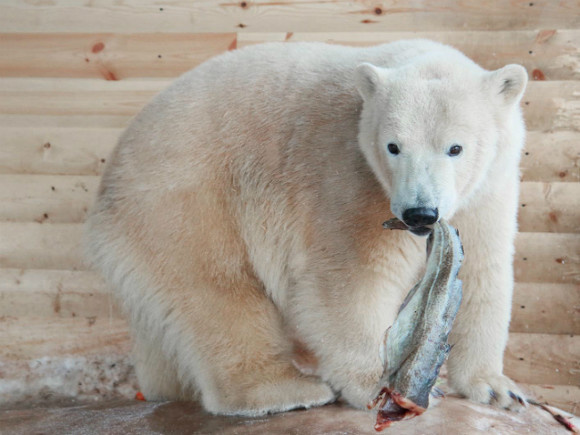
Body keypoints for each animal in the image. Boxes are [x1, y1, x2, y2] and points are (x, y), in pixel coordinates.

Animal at [84, 40, 528, 416]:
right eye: (393, 147)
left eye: (455, 148)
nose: (419, 213)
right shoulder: (348, 175)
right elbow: (346, 281)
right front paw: (379, 384)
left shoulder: (489, 188)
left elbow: (483, 270)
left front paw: (497, 388)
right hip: (182, 202)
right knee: (217, 289)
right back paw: (287, 389)